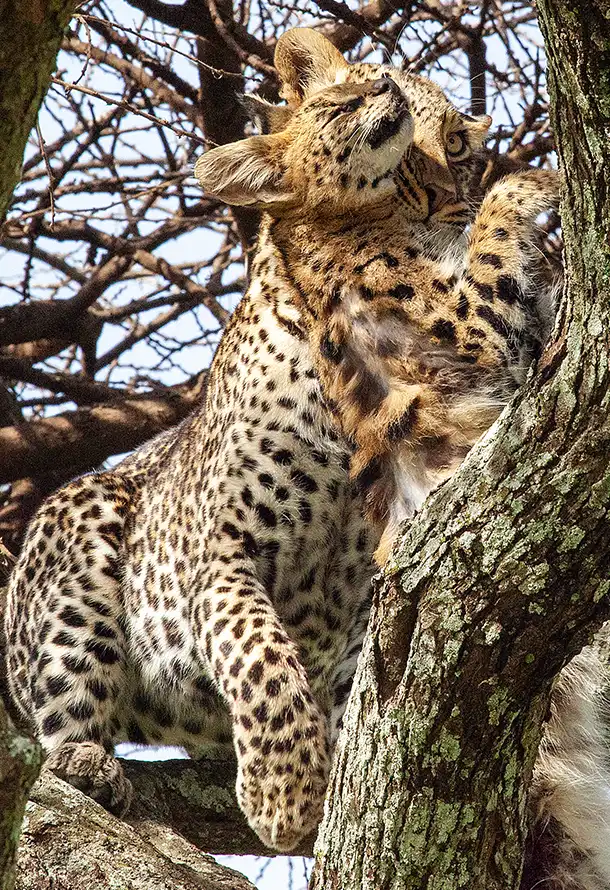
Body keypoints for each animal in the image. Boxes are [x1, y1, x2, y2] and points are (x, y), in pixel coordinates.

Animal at [5, 27, 610, 886]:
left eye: (457, 147)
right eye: (359, 104)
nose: (442, 199)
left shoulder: (374, 578)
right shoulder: (220, 556)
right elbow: (259, 655)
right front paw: (286, 798)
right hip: (81, 526)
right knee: (65, 707)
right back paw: (88, 763)